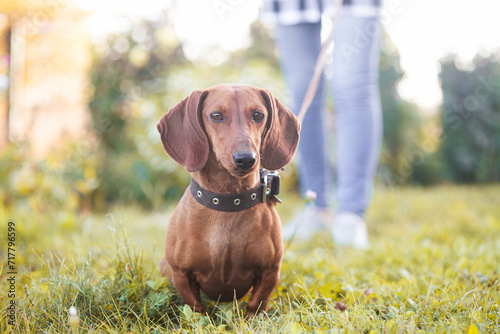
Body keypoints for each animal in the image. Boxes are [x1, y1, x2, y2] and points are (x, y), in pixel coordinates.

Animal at [156, 84, 298, 318]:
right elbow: (195, 308)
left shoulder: (270, 272)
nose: (246, 159)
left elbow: (256, 304)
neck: (228, 202)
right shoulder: (182, 274)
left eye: (258, 115)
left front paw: (252, 321)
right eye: (216, 115)